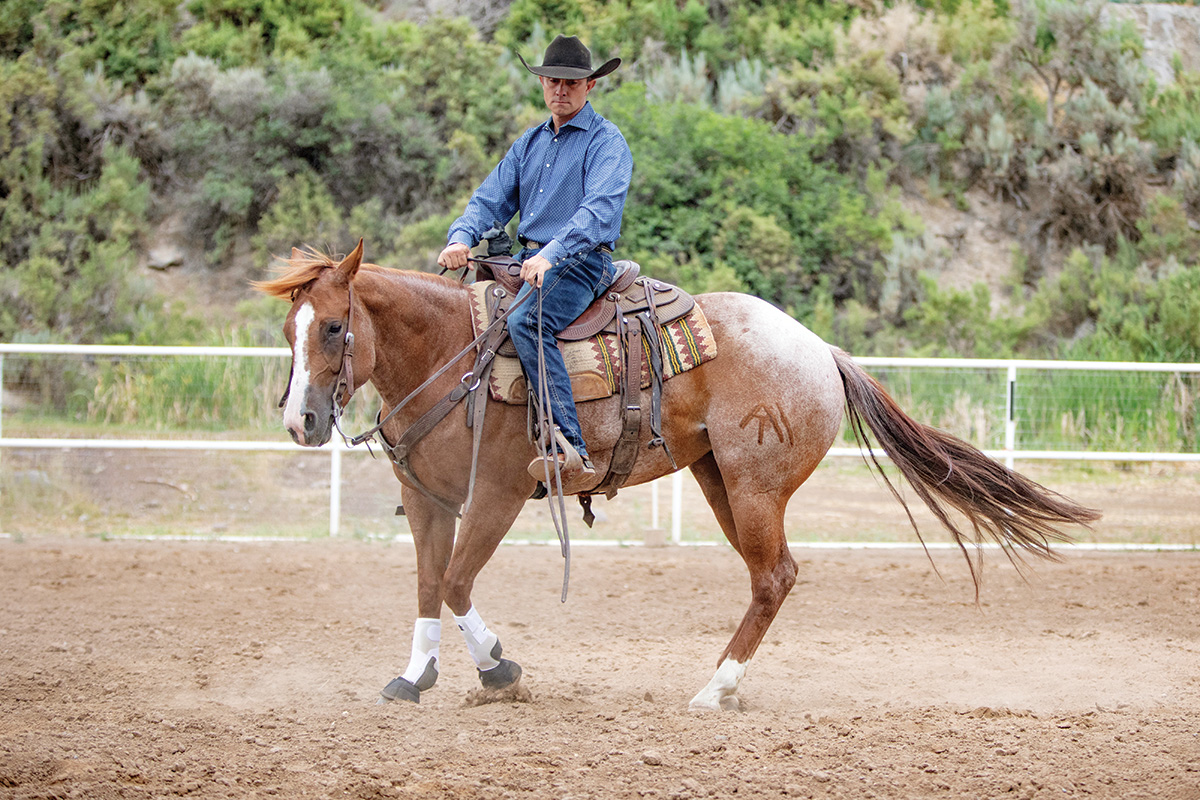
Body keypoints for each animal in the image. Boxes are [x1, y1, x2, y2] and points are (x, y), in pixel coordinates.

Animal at [253, 241, 1099, 710]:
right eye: (290, 328)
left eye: (336, 327)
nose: (301, 421)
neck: (449, 356)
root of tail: (819, 349)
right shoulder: (427, 499)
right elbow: (430, 587)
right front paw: (414, 677)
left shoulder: (497, 496)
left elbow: (459, 584)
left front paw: (500, 671)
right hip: (718, 480)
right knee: (771, 577)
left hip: (756, 488)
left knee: (775, 577)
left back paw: (716, 689)